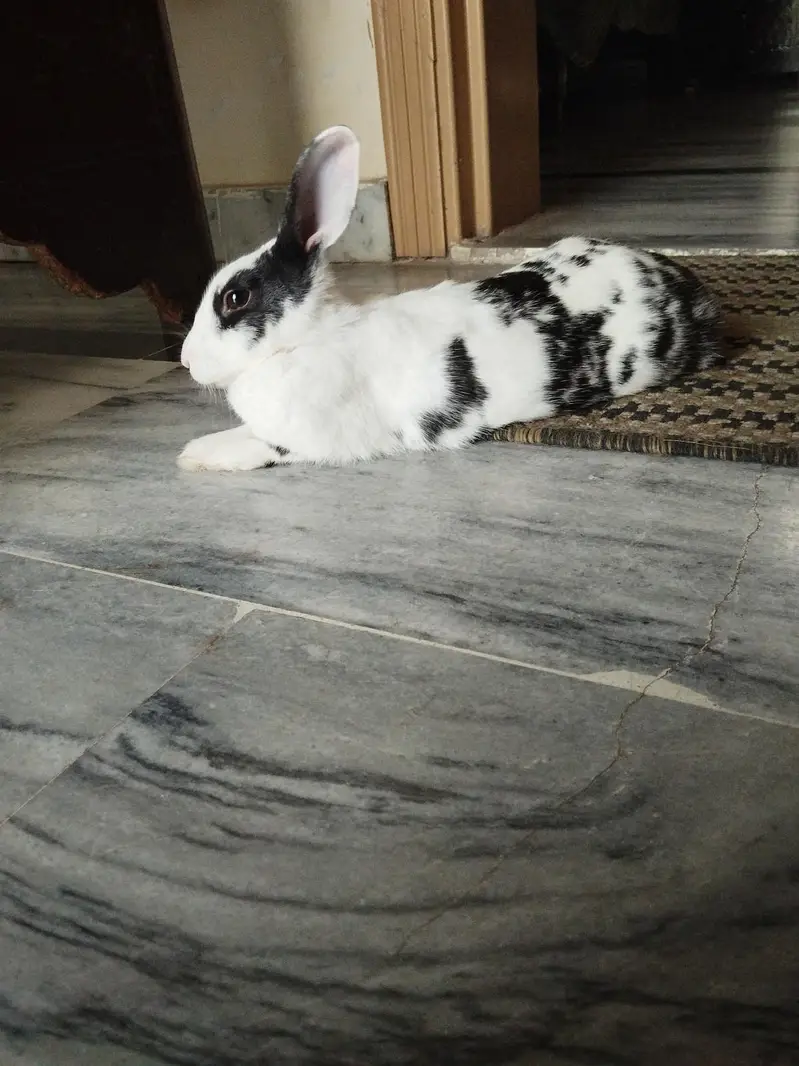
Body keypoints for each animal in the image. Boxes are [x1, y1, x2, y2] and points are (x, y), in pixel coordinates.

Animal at [178, 125, 722, 473]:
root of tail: (685, 285)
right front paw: (191, 450)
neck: (304, 342)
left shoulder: (310, 439)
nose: (184, 360)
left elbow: (258, 446)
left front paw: (197, 455)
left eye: (235, 296)